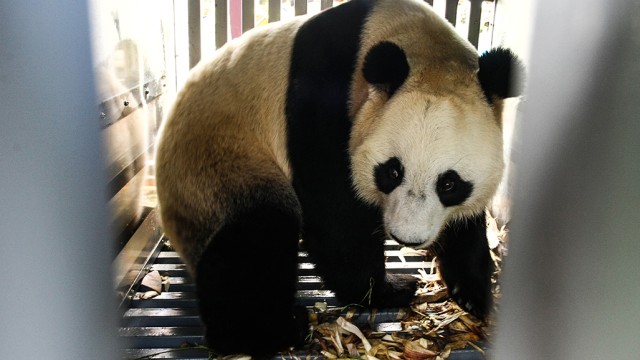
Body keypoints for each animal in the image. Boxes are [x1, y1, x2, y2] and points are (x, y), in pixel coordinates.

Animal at [154, 0, 520, 356]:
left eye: (449, 184)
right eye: (392, 172)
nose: (408, 238)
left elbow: (466, 226)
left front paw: (474, 292)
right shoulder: (321, 100)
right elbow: (334, 214)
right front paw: (387, 290)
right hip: (220, 165)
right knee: (256, 236)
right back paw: (268, 331)